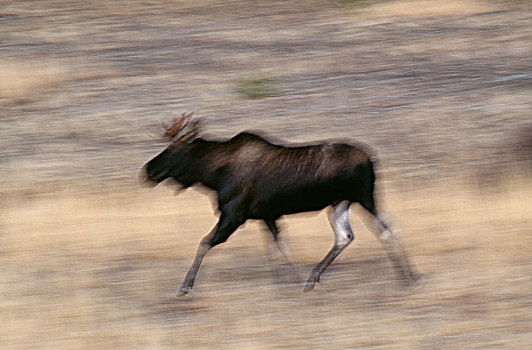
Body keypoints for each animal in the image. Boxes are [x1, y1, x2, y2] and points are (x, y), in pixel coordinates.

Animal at [142, 113, 420, 296]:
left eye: (173, 149)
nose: (147, 170)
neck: (212, 175)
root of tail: (372, 161)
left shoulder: (234, 215)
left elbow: (204, 243)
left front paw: (185, 286)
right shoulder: (267, 216)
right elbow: (279, 248)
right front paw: (287, 280)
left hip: (364, 198)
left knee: (387, 229)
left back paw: (407, 277)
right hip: (340, 203)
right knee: (345, 236)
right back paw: (313, 278)